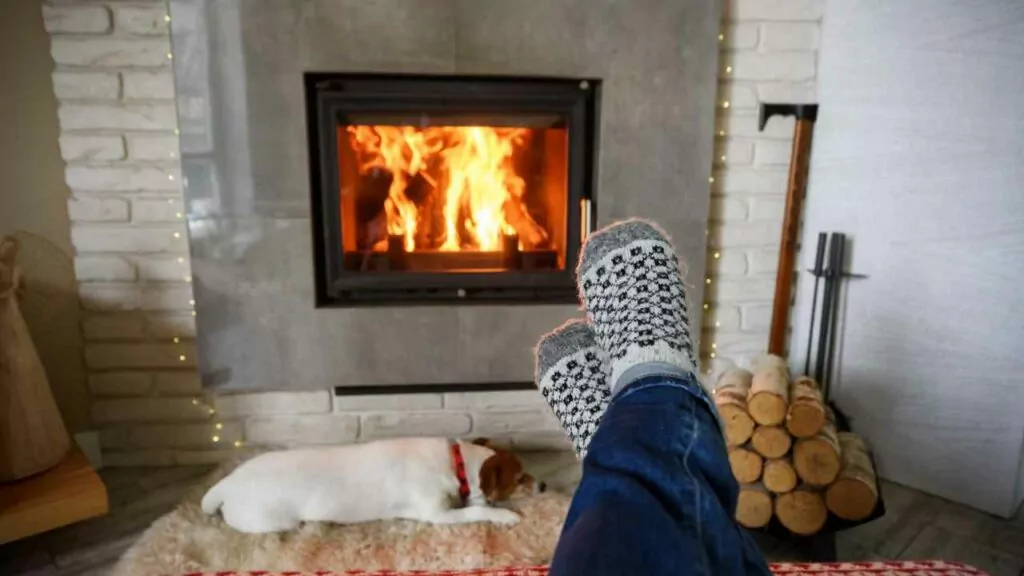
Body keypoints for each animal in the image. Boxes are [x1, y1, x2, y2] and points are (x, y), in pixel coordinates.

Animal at [195, 434, 540, 532]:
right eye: (519, 477)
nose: (544, 488)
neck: (456, 464)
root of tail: (228, 482)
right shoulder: (437, 514)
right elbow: (477, 511)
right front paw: (506, 515)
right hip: (274, 521)